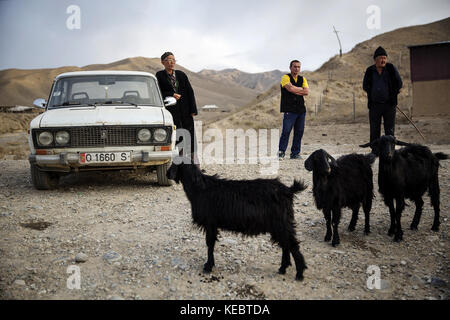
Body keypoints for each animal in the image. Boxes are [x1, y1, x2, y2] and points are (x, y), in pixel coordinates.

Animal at [167, 160, 308, 280]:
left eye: (174, 162)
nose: (167, 174)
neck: (200, 189)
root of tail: (288, 190)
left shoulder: (210, 223)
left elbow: (210, 244)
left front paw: (208, 266)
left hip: (281, 223)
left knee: (292, 245)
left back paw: (299, 274)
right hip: (278, 225)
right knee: (286, 245)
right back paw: (282, 268)